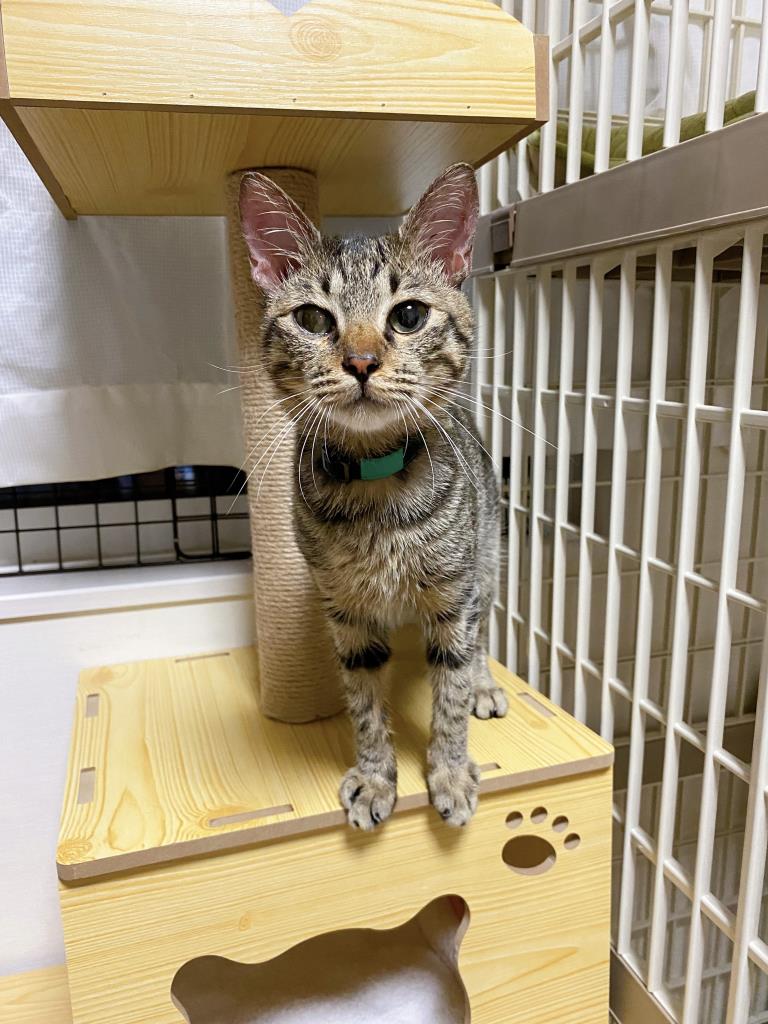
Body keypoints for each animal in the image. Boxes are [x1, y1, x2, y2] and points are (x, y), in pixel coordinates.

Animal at [238, 163, 506, 830]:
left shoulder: (454, 593)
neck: (376, 486)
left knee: (482, 630)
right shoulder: (345, 611)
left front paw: (450, 771)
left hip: (488, 556)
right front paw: (376, 775)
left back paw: (486, 682)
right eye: (312, 319)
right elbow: (362, 701)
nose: (360, 361)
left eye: (408, 315)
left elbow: (450, 690)